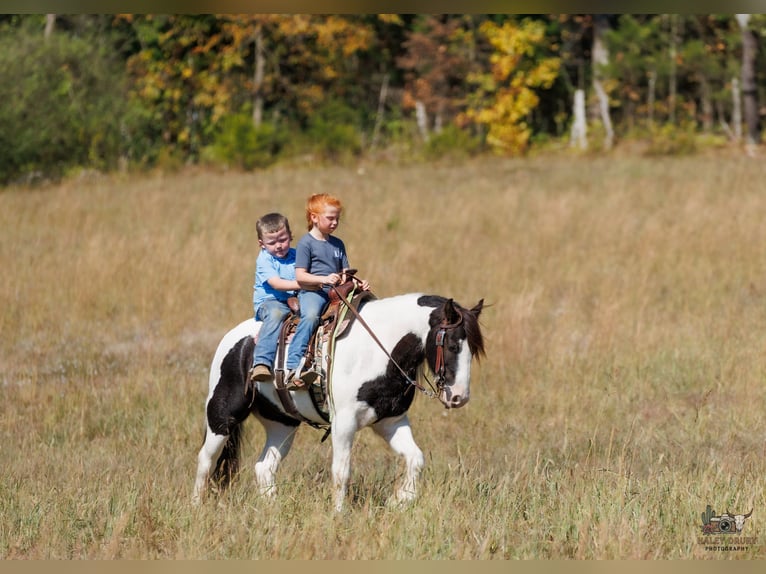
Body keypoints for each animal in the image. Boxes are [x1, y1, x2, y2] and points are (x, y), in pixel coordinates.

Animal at [193, 292, 485, 511]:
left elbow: (416, 458)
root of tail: (234, 338)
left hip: (282, 424)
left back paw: (272, 508)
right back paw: (197, 506)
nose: (459, 397)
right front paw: (339, 513)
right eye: (453, 346)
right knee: (206, 460)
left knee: (264, 467)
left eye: (473, 349)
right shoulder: (344, 422)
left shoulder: (390, 421)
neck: (378, 350)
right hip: (222, 416)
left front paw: (401, 500)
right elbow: (341, 470)